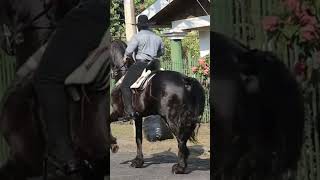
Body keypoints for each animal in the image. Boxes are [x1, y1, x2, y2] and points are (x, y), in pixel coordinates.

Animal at [109, 39, 206, 174]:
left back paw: (180, 167)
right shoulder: (138, 117)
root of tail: (185, 79)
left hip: (172, 119)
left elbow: (107, 123)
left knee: (181, 140)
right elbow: (138, 138)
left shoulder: (118, 113)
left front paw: (114, 145)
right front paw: (138, 161)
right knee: (183, 140)